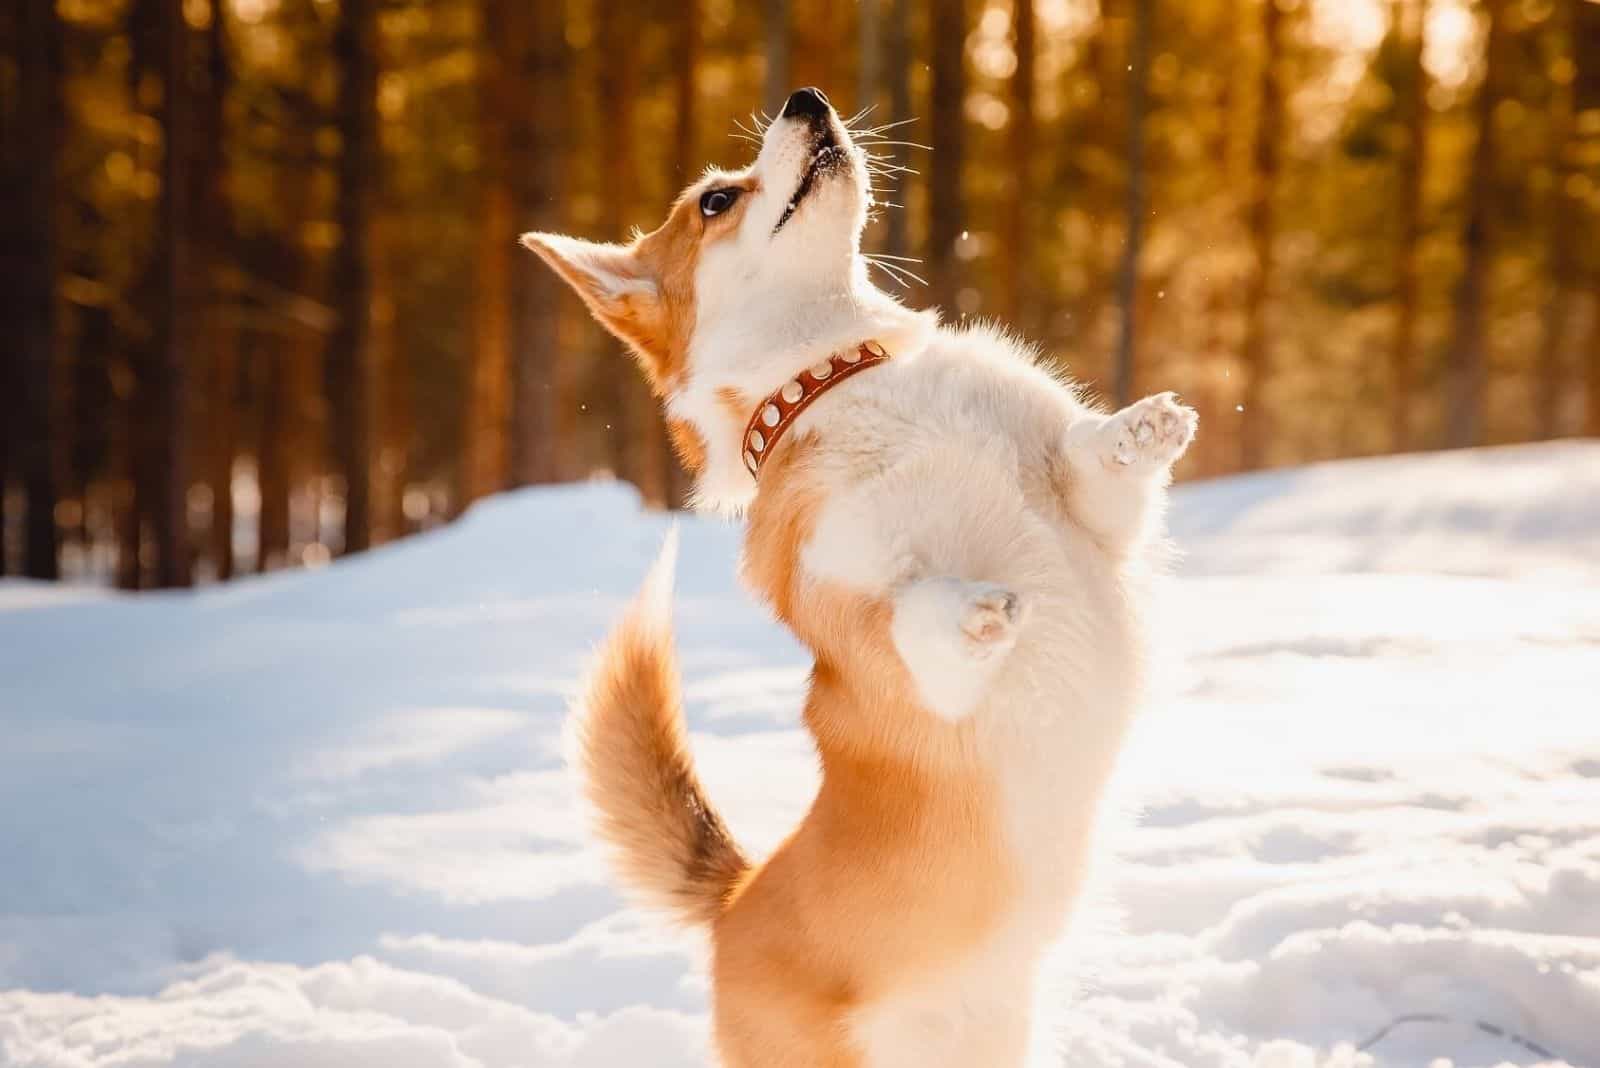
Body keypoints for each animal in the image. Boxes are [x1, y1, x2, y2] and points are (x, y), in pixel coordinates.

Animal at [521, 85, 1190, 1068]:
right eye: (715, 199)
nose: (807, 98)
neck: (840, 378)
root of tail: (736, 901)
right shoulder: (869, 613)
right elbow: (912, 618)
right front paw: (972, 613)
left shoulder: (1093, 520)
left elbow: (1090, 462)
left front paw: (1139, 428)